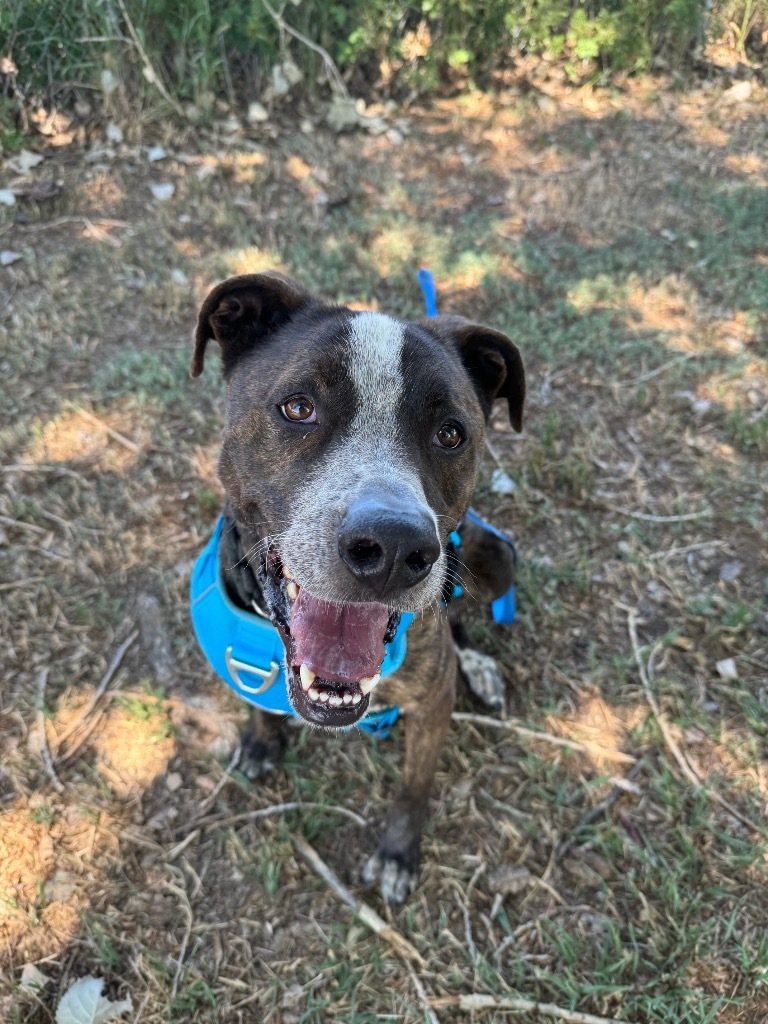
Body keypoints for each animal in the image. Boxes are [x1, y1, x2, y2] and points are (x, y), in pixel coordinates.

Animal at [190, 274, 528, 905]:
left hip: (496, 557)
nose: (394, 547)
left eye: (451, 434)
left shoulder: (432, 705)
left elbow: (414, 788)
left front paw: (398, 852)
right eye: (299, 407)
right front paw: (262, 740)